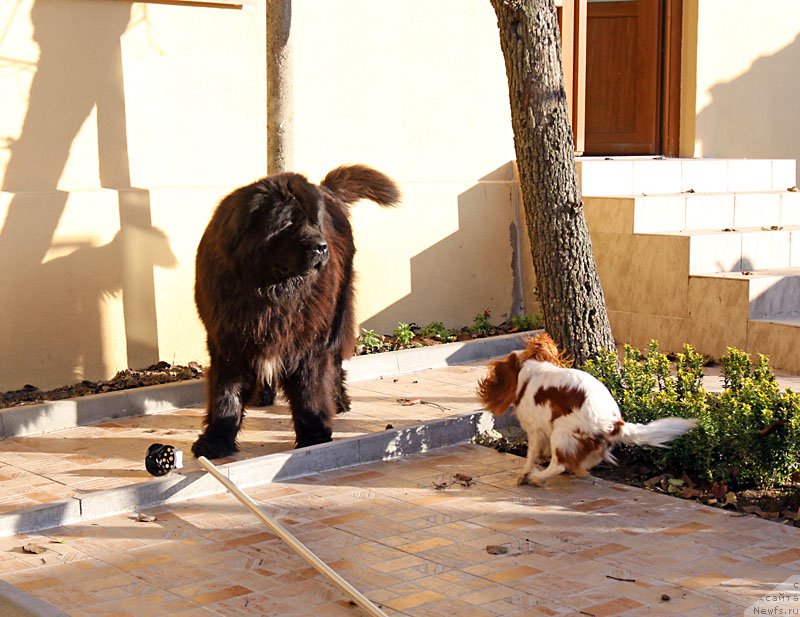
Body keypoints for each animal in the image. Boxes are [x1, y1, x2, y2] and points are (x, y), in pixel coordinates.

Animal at [188, 164, 400, 458]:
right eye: (289, 223)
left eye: (315, 222)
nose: (322, 246)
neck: (269, 292)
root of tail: (327, 190)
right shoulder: (228, 339)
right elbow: (225, 393)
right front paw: (216, 440)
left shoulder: (308, 341)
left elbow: (309, 389)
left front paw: (314, 436)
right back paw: (262, 396)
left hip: (337, 317)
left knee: (335, 363)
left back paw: (338, 400)